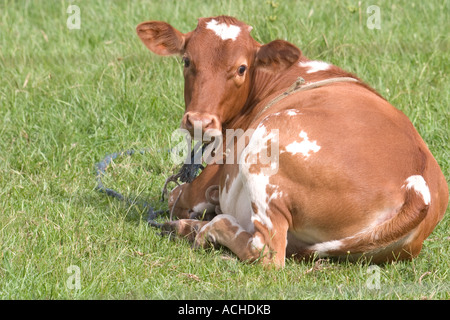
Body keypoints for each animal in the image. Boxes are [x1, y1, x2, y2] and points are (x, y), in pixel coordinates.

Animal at [136, 15, 446, 264]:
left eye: (241, 68)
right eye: (187, 60)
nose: (199, 121)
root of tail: (416, 186)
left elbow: (177, 195)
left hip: (265, 147)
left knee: (267, 251)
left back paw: (207, 228)